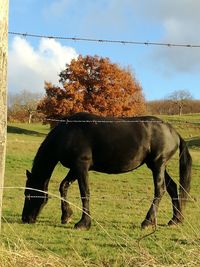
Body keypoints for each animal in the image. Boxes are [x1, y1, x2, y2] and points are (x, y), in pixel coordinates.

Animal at [21, 113, 192, 230]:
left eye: (28, 194)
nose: (25, 218)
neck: (68, 133)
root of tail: (173, 132)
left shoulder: (81, 166)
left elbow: (85, 193)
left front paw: (83, 223)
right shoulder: (75, 168)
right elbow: (63, 186)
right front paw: (66, 216)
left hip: (158, 165)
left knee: (160, 190)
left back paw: (147, 222)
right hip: (157, 166)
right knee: (172, 188)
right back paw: (175, 220)